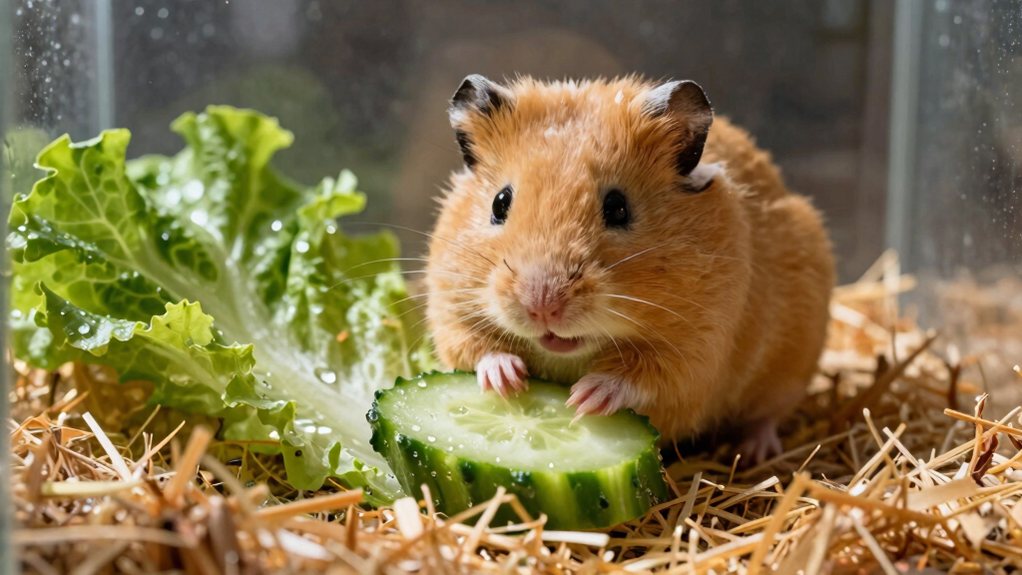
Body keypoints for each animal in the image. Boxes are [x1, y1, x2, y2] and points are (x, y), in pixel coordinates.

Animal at [425, 75, 835, 462]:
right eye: (500, 202)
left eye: (618, 208)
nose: (542, 307)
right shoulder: (449, 309)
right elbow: (472, 348)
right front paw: (509, 380)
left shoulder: (700, 349)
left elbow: (649, 378)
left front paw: (584, 398)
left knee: (768, 416)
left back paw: (756, 451)